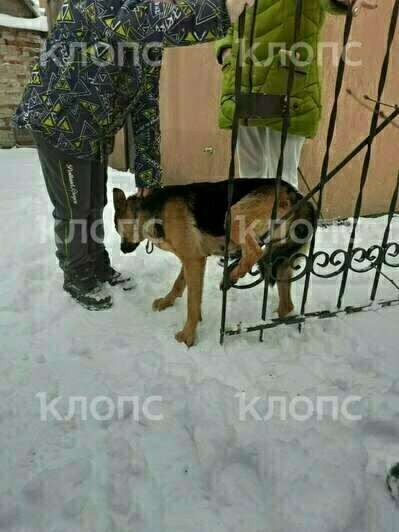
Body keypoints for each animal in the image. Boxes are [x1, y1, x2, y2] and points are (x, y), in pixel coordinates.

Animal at [114, 179, 318, 344]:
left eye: (118, 230)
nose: (122, 250)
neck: (150, 210)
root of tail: (294, 192)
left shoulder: (193, 260)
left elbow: (192, 303)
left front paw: (188, 336)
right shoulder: (194, 258)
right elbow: (179, 284)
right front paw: (166, 302)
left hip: (233, 216)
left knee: (255, 252)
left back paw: (231, 277)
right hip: (280, 258)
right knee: (287, 305)